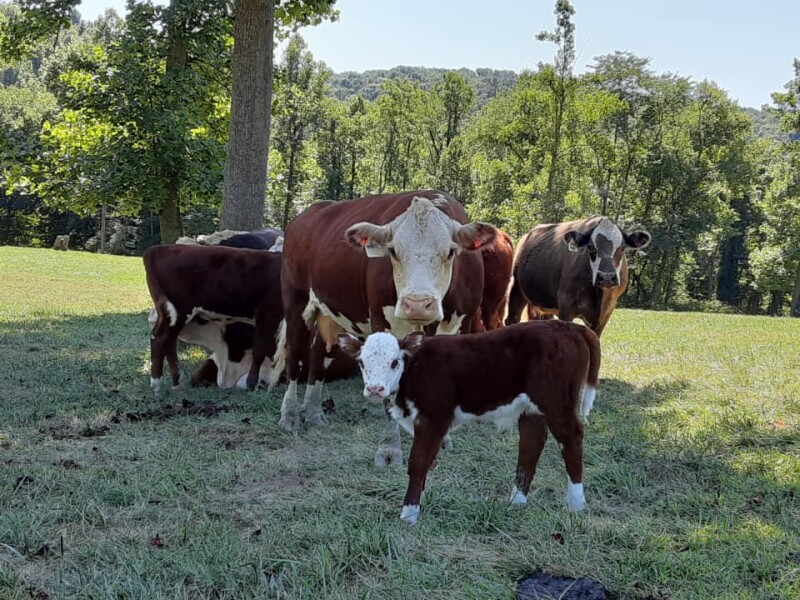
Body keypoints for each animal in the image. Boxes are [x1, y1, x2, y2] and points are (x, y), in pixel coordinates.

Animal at [143, 244, 283, 392]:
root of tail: (159, 248)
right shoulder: (268, 314)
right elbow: (260, 349)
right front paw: (252, 383)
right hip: (179, 310)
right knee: (164, 337)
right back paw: (177, 380)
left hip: (166, 312)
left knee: (156, 335)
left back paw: (157, 382)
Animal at [276, 190, 497, 466]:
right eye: (392, 251)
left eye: (450, 251)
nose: (417, 304)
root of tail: (304, 216)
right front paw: (389, 449)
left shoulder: (461, 326)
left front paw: (442, 439)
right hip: (296, 304)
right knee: (294, 358)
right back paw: (290, 415)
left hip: (331, 313)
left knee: (319, 356)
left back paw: (314, 413)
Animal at [337, 319, 601, 525]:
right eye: (362, 363)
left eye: (394, 362)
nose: (375, 389)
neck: (413, 369)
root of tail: (570, 326)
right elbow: (427, 461)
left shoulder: (434, 417)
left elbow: (418, 462)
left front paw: (409, 514)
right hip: (531, 408)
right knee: (531, 445)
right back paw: (516, 502)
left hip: (558, 404)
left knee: (571, 440)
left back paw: (576, 504)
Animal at [506, 217, 651, 336]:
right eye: (591, 247)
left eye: (622, 248)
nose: (606, 277)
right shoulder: (566, 307)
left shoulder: (606, 312)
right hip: (517, 290)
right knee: (512, 320)